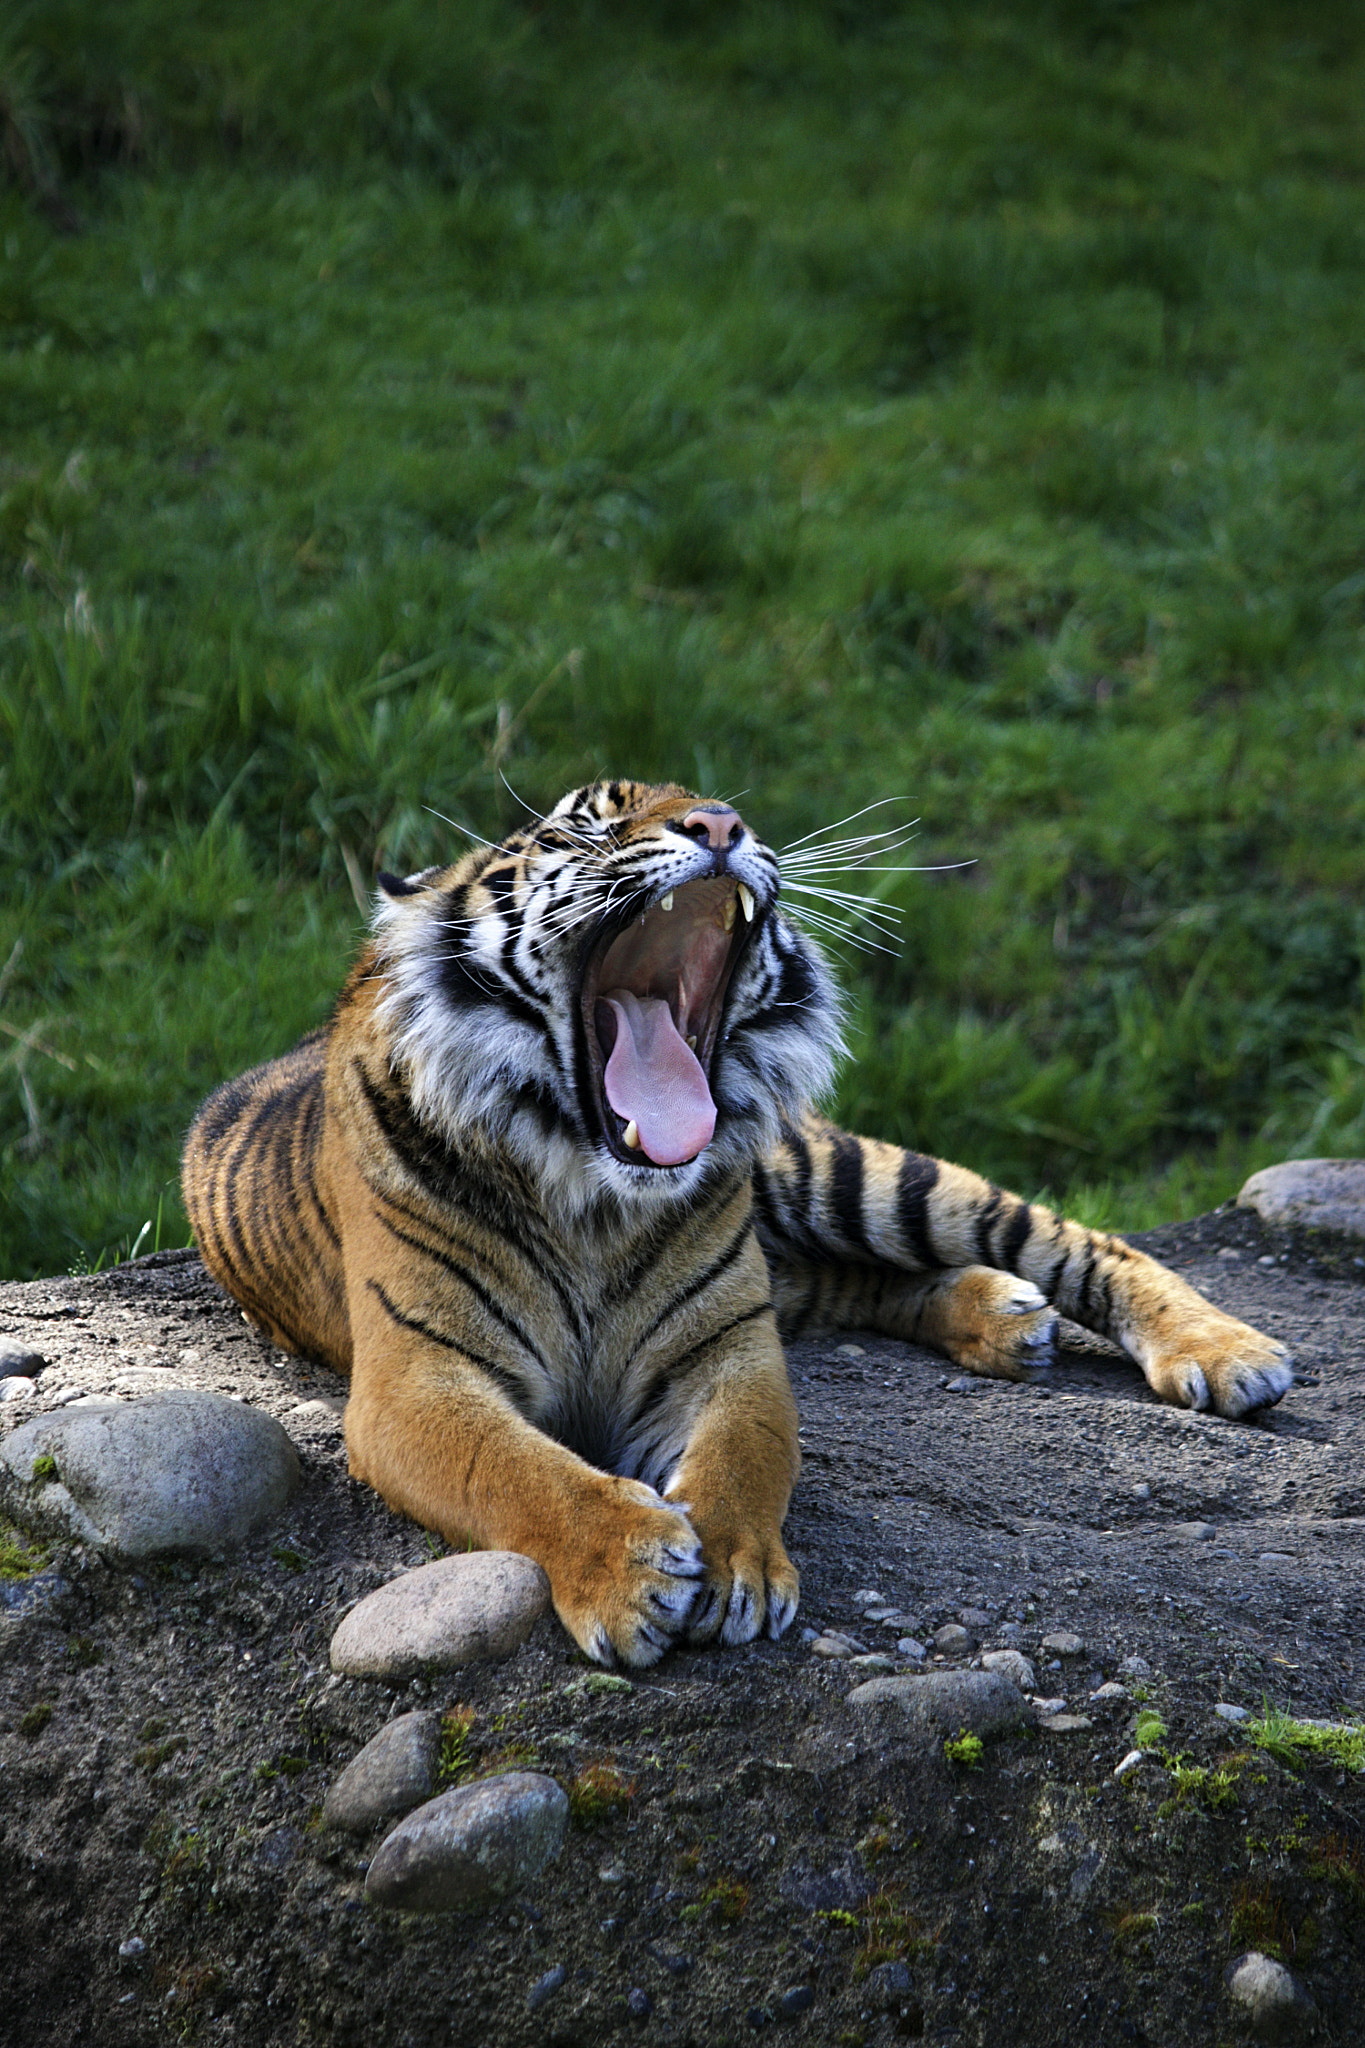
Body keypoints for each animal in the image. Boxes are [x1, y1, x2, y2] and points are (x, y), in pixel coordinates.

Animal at [182, 778, 1295, 1668]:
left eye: (709, 802)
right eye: (588, 822)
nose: (720, 823)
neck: (592, 1191)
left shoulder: (726, 1345)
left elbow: (745, 1453)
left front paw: (731, 1567)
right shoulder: (417, 1378)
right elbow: (517, 1469)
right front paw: (629, 1570)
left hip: (846, 1177)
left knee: (1077, 1241)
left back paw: (1224, 1353)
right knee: (862, 1281)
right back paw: (1004, 1321)